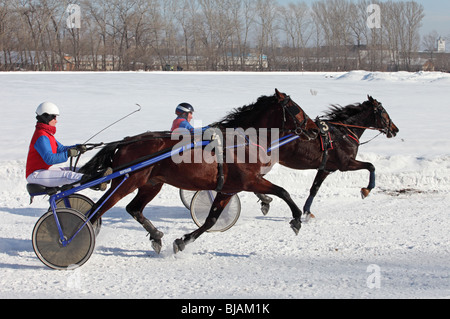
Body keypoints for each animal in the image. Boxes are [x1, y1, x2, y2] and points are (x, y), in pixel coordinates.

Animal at [81, 90, 320, 255]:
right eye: (296, 108)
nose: (315, 128)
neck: (241, 142)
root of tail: (127, 141)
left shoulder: (228, 189)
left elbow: (211, 220)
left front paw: (182, 241)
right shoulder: (249, 181)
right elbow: (283, 191)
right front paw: (297, 219)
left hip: (151, 184)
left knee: (133, 208)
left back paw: (156, 235)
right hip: (127, 181)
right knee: (96, 210)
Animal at [255, 96, 400, 219]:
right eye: (384, 112)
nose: (395, 129)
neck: (343, 133)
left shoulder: (325, 169)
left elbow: (314, 189)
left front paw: (308, 212)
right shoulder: (345, 164)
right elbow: (371, 166)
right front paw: (367, 190)